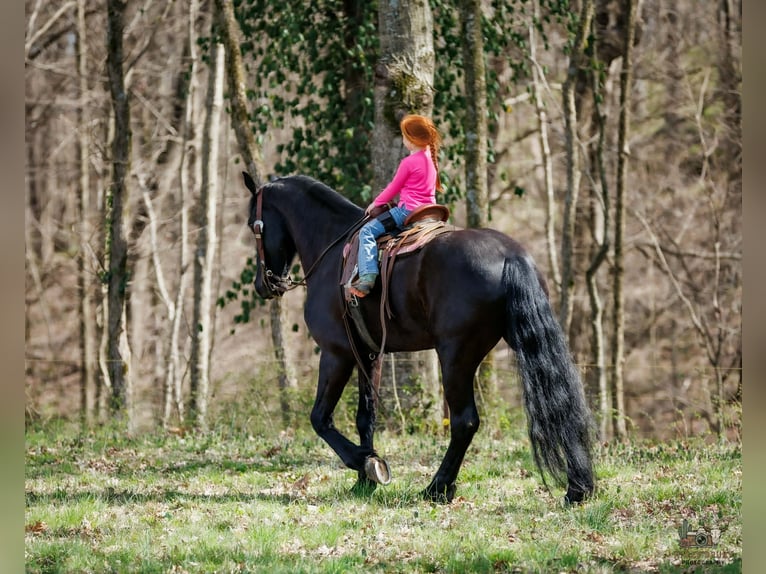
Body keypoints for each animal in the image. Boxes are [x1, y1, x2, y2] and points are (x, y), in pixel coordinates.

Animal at [243, 172, 595, 504]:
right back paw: (578, 488)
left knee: (464, 421)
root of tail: (511, 256)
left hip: (455, 356)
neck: (332, 250)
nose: (264, 284)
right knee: (559, 406)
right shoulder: (368, 354)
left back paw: (438, 487)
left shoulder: (336, 354)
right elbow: (365, 417)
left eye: (251, 224)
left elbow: (320, 418)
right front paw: (364, 481)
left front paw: (366, 462)